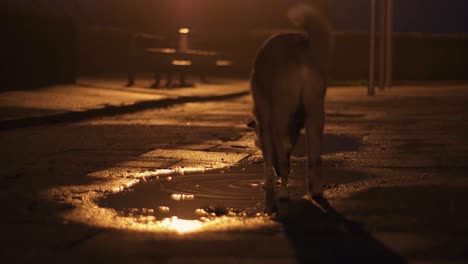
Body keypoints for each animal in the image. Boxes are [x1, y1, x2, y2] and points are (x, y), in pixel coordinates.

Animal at [250, 2, 334, 213]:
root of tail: (300, 52)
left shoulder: (266, 124)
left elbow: (270, 160)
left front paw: (269, 183)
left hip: (281, 117)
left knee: (285, 163)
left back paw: (283, 194)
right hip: (315, 115)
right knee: (315, 159)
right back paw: (316, 192)